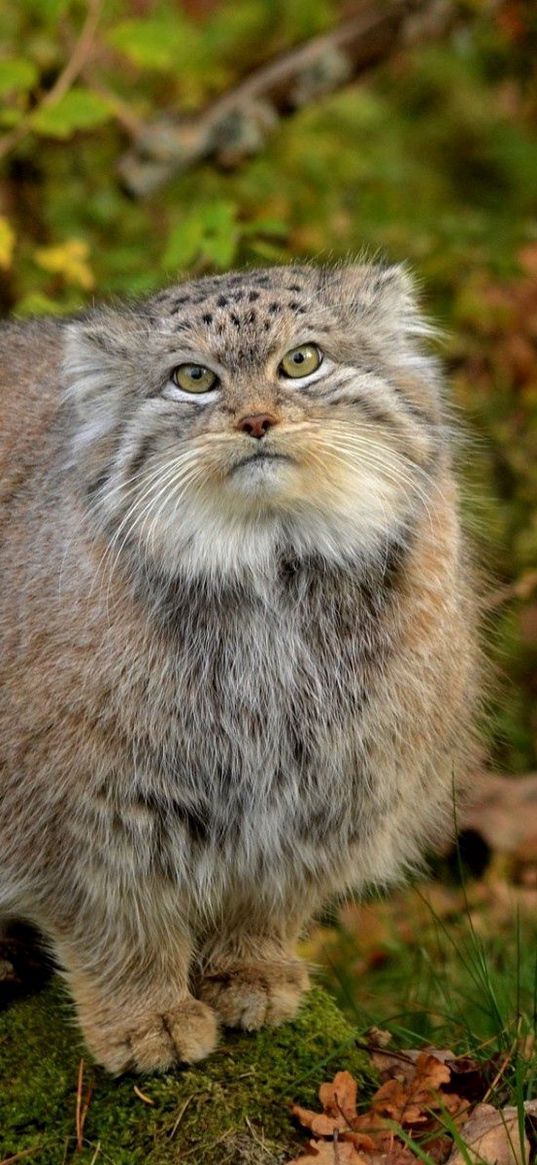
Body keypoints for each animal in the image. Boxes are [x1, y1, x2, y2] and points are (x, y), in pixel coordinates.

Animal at [0, 264, 477, 1071]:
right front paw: (145, 1015)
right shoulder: (77, 805)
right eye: (193, 378)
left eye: (302, 361)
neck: (270, 575)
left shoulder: (332, 785)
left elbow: (269, 893)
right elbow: (116, 920)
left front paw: (249, 968)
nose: (256, 421)